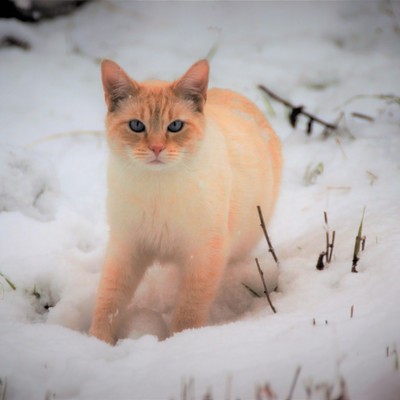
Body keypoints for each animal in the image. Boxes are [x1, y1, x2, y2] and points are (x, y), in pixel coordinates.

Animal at [88, 58, 282, 344]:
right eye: (137, 126)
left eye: (175, 126)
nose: (157, 148)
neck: (157, 188)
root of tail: (235, 94)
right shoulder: (126, 247)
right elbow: (109, 300)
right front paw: (96, 342)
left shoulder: (204, 254)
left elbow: (188, 312)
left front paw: (179, 343)